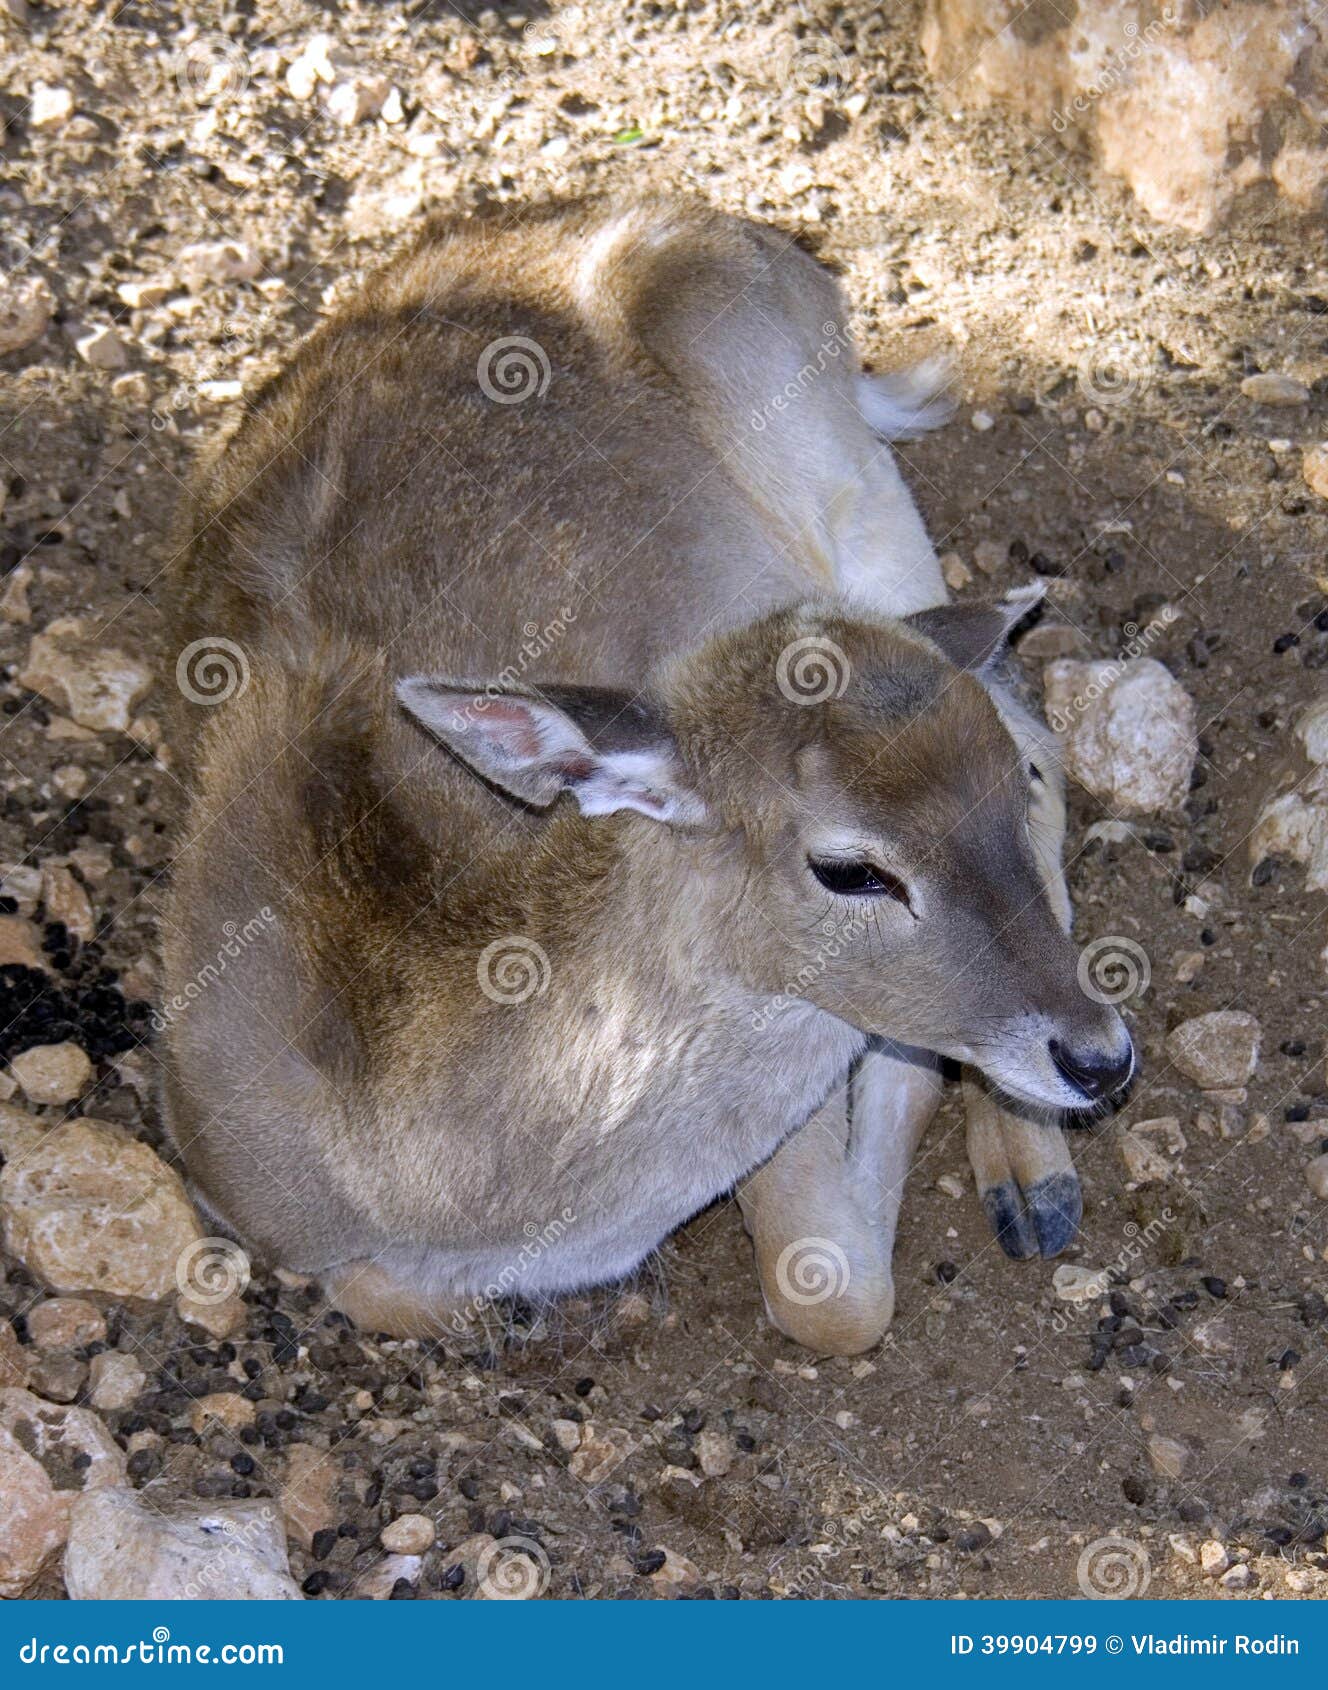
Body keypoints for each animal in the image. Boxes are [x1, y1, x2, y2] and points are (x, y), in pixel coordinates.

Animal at [155, 194, 1128, 1358]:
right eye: (849, 868)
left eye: (998, 790)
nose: (1099, 1056)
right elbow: (388, 1294)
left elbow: (831, 1291)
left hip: (832, 461)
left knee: (1032, 704)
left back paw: (1032, 1183)